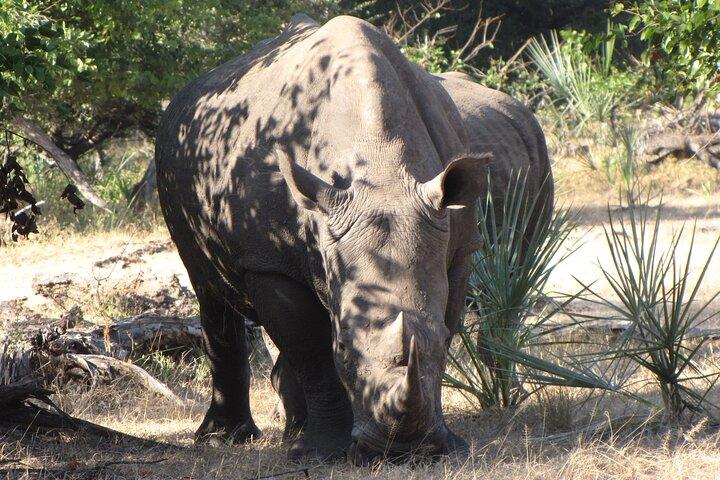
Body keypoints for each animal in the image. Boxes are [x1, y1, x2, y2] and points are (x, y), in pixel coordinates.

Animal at [155, 14, 552, 463]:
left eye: (439, 342)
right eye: (343, 347)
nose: (402, 451)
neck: (379, 167)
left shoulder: (459, 247)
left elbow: (446, 321)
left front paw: (448, 445)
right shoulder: (268, 260)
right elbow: (311, 349)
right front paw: (322, 454)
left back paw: (292, 433)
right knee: (208, 289)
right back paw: (226, 439)